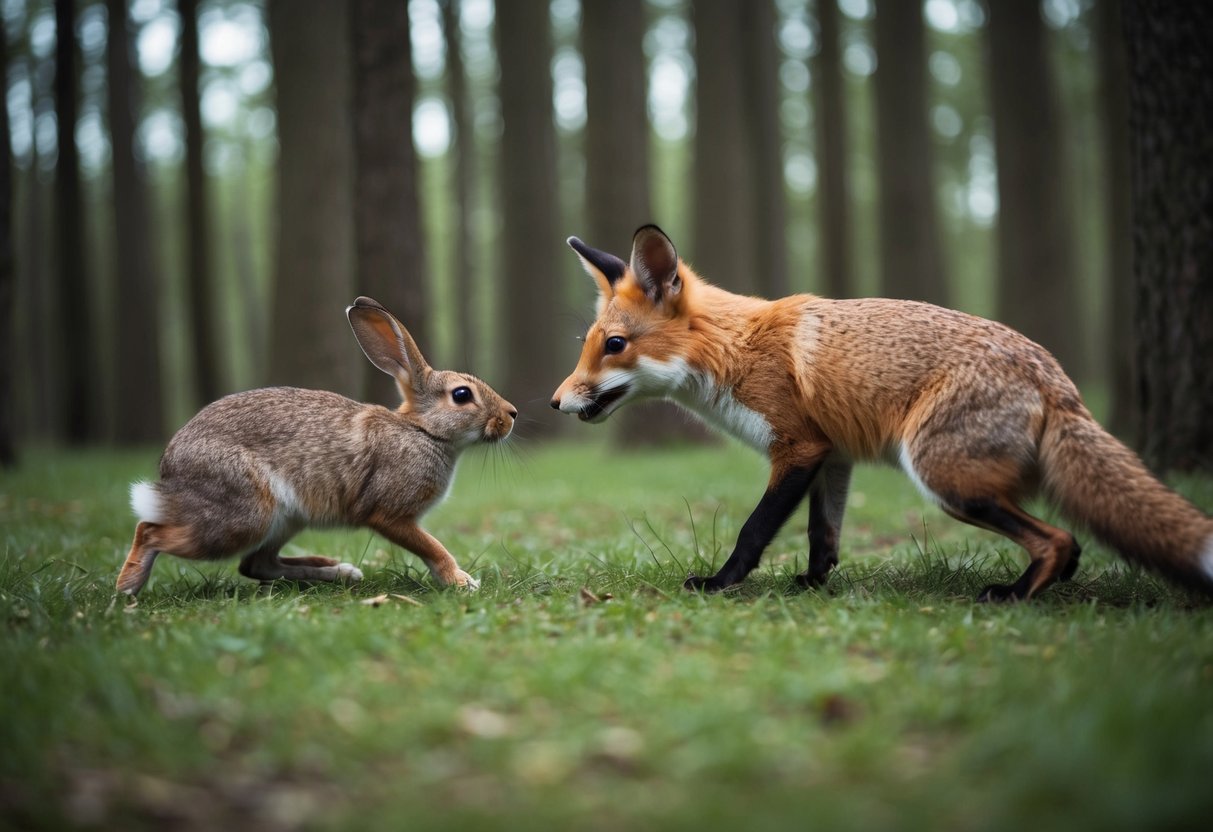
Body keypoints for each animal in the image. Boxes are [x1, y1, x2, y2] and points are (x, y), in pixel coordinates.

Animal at [116, 296, 517, 596]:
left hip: (287, 519)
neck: (423, 431)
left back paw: (339, 570)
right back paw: (127, 589)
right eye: (462, 395)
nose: (511, 415)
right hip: (245, 515)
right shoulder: (390, 515)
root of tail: (170, 473)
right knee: (151, 531)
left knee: (256, 564)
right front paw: (462, 582)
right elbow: (432, 547)